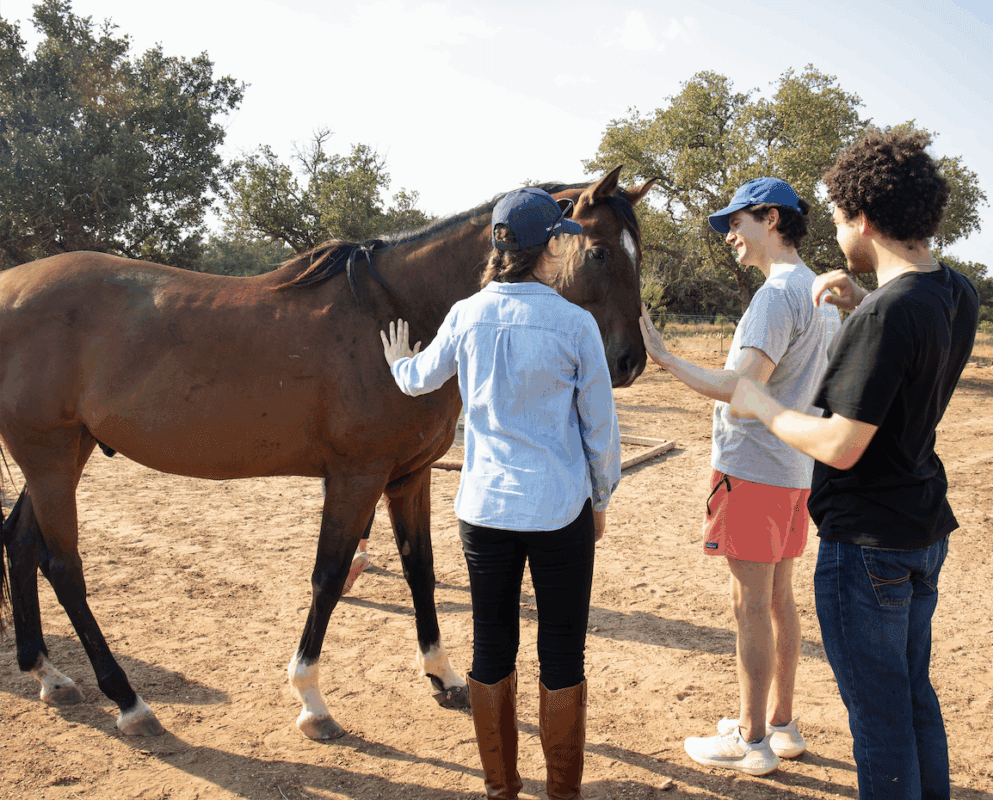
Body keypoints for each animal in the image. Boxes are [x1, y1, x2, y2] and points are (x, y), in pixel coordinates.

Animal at [0, 166, 657, 741]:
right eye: (600, 252)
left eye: (639, 251)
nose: (629, 361)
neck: (397, 313)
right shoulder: (354, 477)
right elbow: (328, 575)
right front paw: (311, 699)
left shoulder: (407, 477)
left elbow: (420, 568)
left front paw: (442, 674)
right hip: (50, 454)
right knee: (64, 567)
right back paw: (129, 701)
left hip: (67, 451)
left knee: (22, 541)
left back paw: (49, 675)